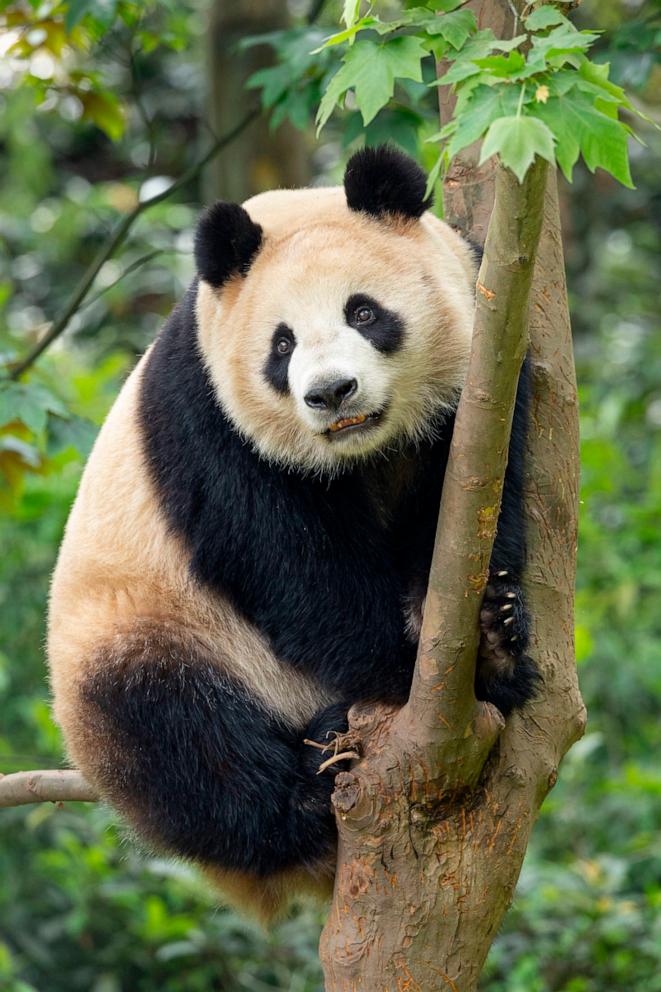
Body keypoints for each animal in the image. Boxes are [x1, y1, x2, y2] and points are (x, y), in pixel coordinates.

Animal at [50, 147, 536, 924]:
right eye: (281, 344)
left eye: (363, 312)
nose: (331, 393)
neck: (362, 453)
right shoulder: (208, 416)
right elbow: (291, 567)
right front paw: (410, 668)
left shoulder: (488, 364)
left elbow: (469, 507)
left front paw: (488, 636)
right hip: (145, 628)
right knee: (173, 735)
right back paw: (309, 787)